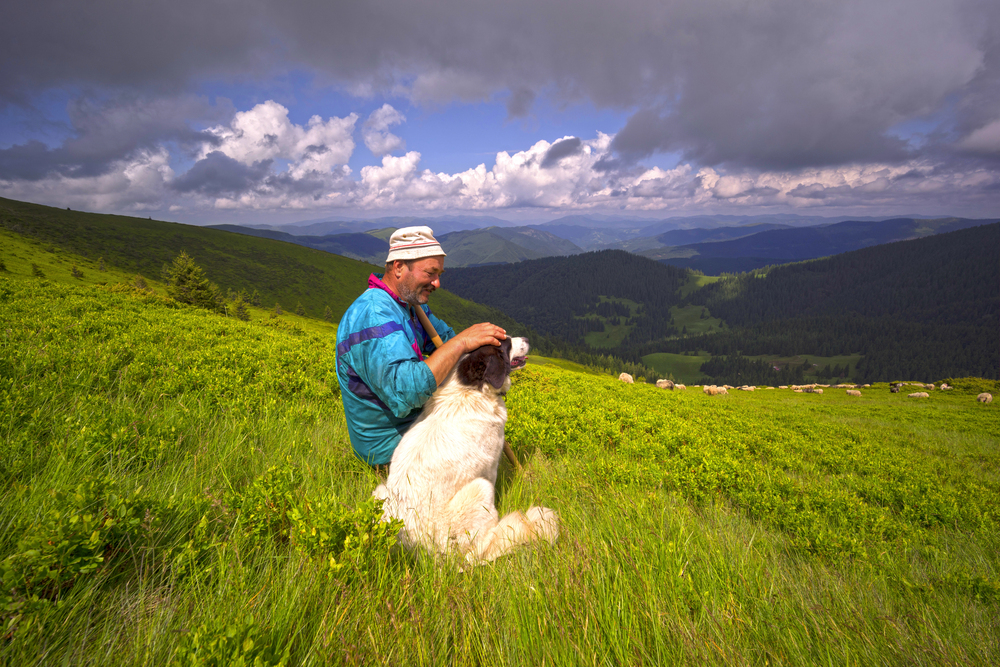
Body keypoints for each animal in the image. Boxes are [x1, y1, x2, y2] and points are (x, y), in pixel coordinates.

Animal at [376, 340, 564, 564]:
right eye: (507, 343)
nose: (526, 340)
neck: (470, 390)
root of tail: (425, 550)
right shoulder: (490, 469)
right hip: (480, 490)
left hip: (380, 492)